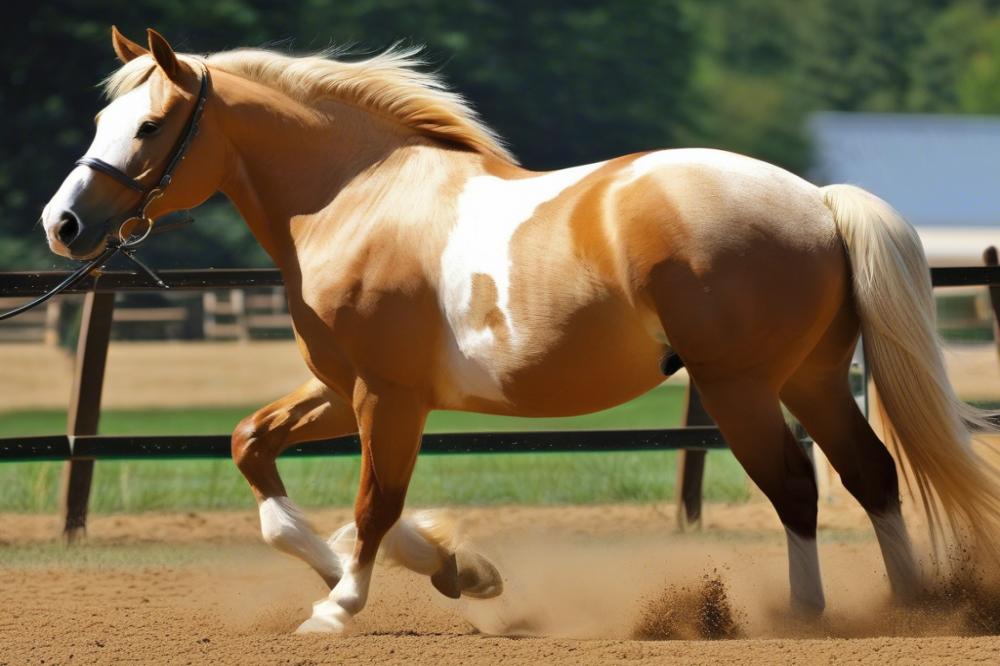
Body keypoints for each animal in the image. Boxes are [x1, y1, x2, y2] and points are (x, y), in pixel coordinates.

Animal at [39, 28, 1000, 632]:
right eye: (101, 121)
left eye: (149, 126)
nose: (63, 226)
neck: (355, 200)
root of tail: (817, 200)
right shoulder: (343, 390)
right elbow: (256, 452)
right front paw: (451, 569)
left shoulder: (387, 397)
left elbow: (375, 501)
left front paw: (341, 605)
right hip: (811, 377)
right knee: (869, 475)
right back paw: (910, 609)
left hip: (741, 388)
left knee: (797, 485)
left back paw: (804, 616)